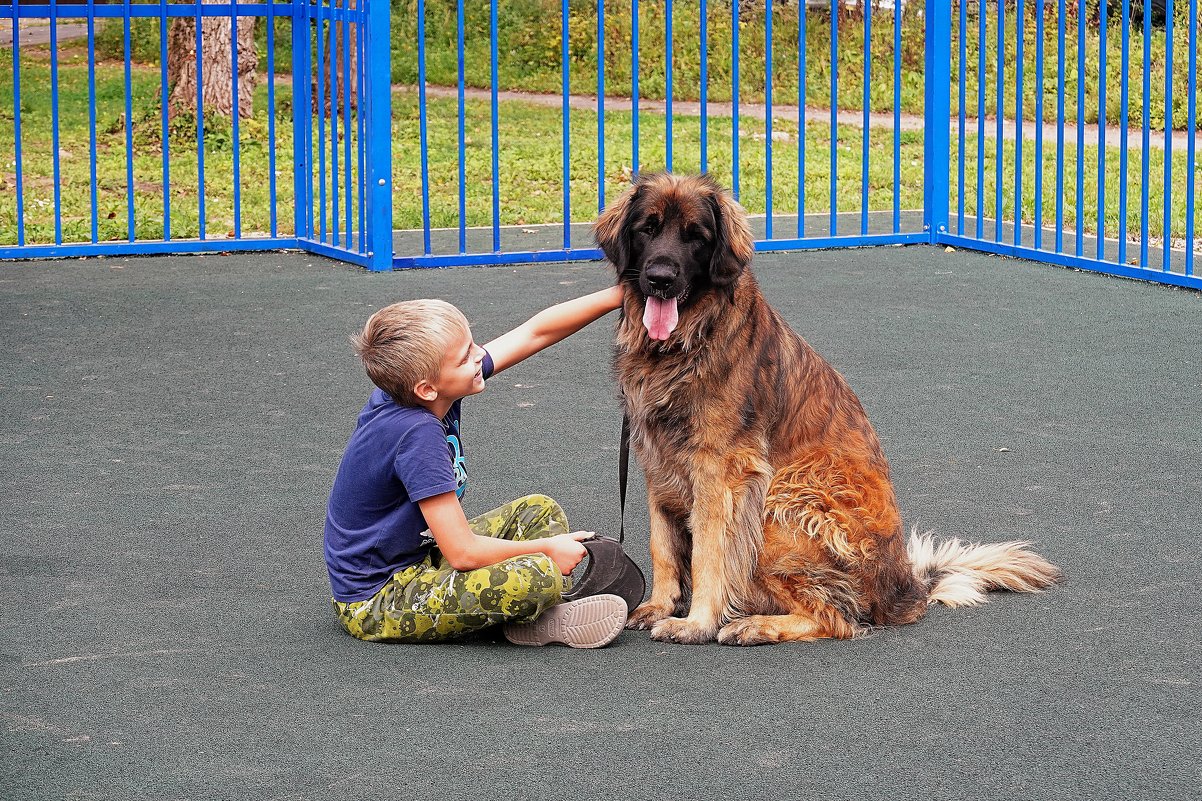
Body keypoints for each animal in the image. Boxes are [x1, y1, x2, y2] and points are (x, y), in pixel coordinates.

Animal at [593, 173, 1062, 644]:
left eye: (696, 237)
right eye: (648, 229)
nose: (660, 279)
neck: (686, 341)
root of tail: (906, 588)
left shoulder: (720, 469)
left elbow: (710, 551)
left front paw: (697, 622)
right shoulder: (657, 461)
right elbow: (663, 545)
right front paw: (660, 605)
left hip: (786, 495)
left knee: (835, 618)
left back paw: (755, 625)